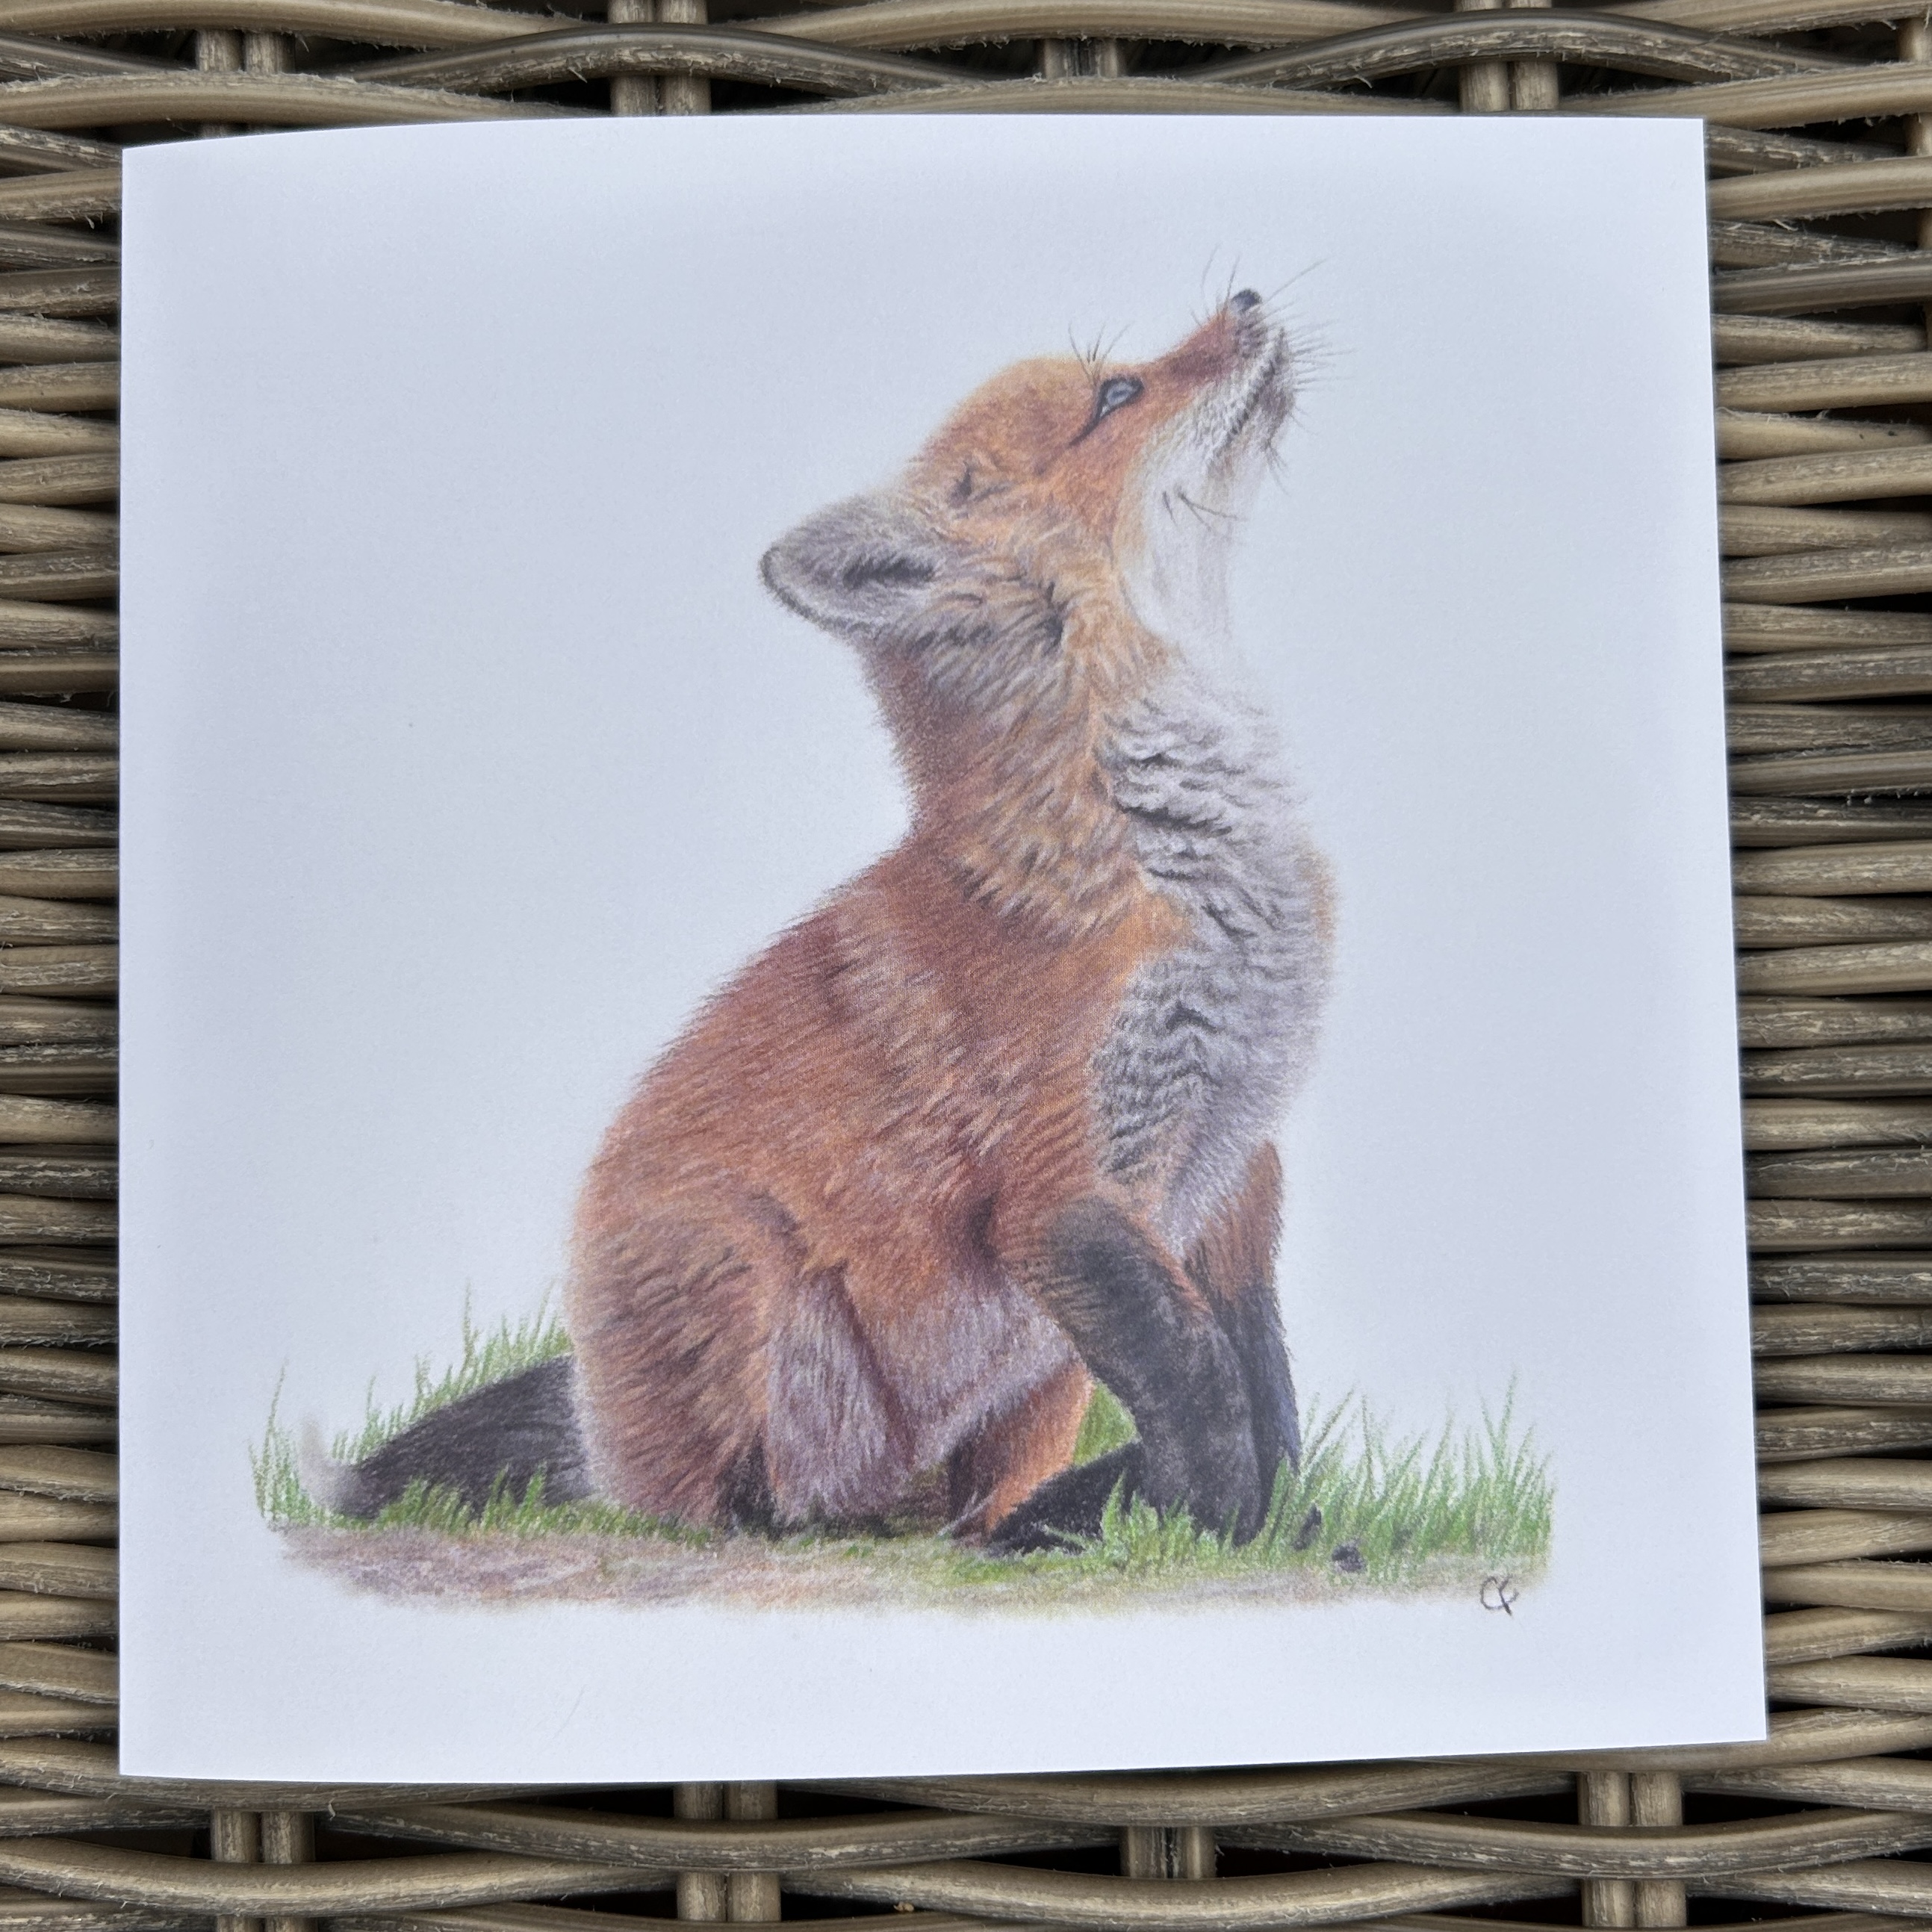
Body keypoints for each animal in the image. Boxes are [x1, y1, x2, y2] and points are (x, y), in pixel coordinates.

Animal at [310, 290, 1333, 1553]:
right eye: (1116, 394)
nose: (1246, 299)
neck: (1184, 867)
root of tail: (597, 1432)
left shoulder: (1236, 1172)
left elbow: (1260, 1383)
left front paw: (1270, 1523)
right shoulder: (1064, 1194)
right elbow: (1199, 1381)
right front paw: (1214, 1526)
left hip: (1037, 1381)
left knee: (969, 1514)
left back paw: (1024, 1526)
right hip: (755, 1291)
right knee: (744, 1507)